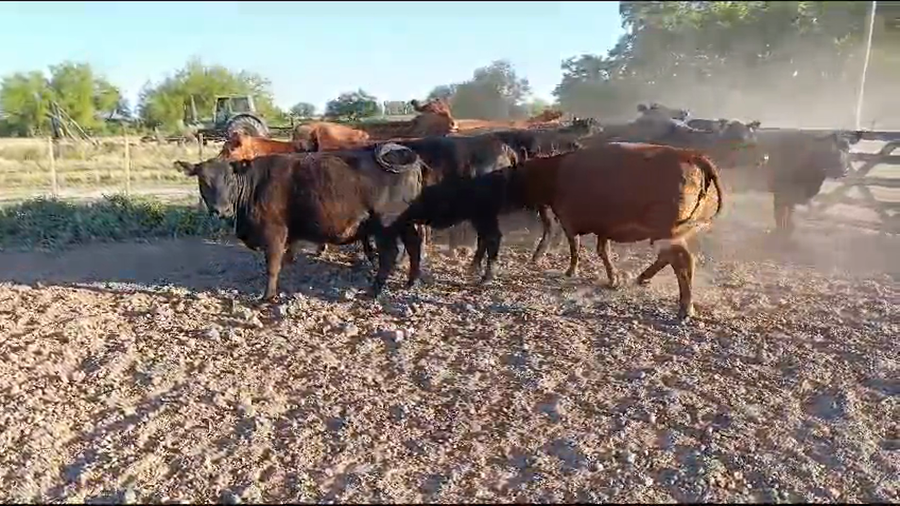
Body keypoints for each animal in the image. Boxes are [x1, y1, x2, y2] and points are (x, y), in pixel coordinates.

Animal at [174, 143, 425, 302]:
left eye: (230, 179)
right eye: (203, 181)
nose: (221, 210)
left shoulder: (275, 232)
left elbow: (272, 265)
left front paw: (267, 296)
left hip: (385, 225)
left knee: (390, 255)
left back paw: (374, 291)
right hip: (405, 223)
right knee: (413, 245)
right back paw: (410, 282)